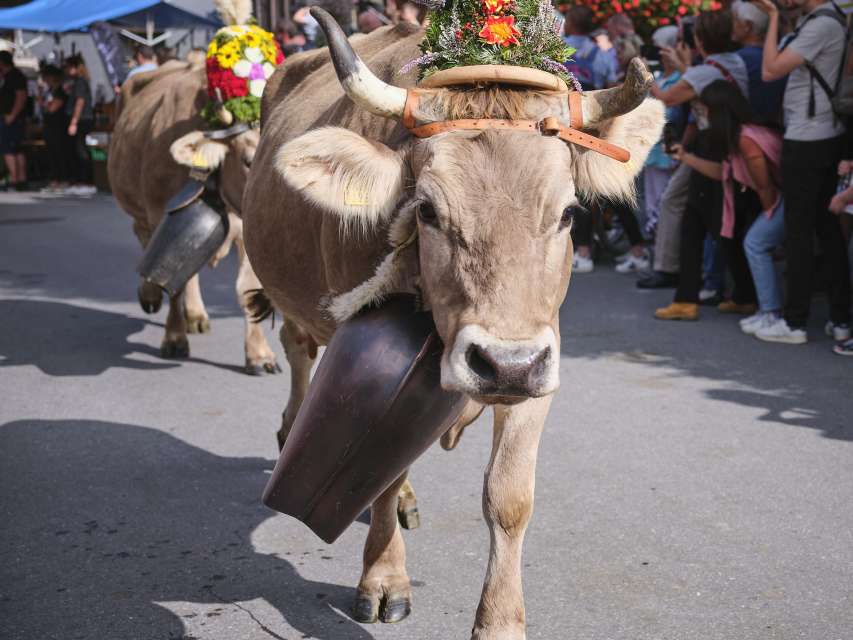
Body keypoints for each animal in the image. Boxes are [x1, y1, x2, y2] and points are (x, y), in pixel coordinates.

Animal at [109, 58, 279, 374]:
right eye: (249, 160)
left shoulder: (246, 231)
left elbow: (245, 288)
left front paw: (259, 354)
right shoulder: (159, 212)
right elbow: (171, 278)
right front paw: (174, 338)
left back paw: (196, 316)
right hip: (140, 210)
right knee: (145, 243)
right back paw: (150, 295)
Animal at [243, 9, 664, 638]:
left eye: (568, 213)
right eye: (427, 210)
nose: (505, 364)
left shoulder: (539, 361)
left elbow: (509, 496)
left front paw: (501, 621)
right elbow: (384, 473)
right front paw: (383, 580)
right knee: (298, 356)